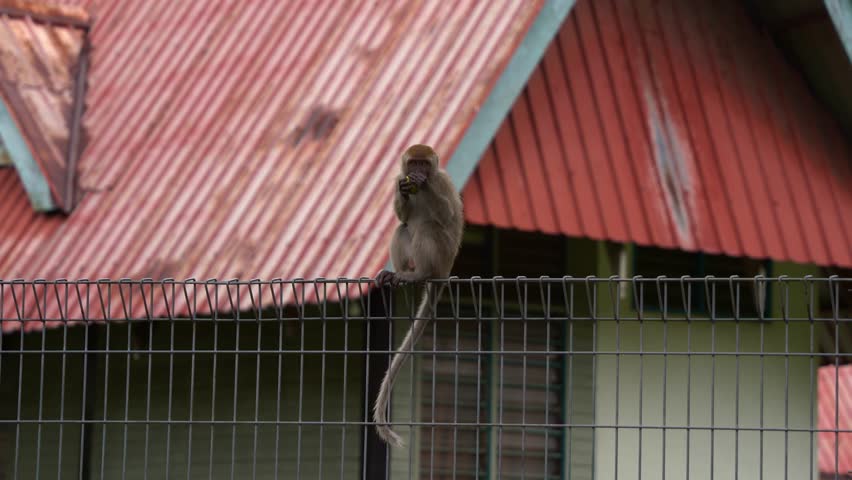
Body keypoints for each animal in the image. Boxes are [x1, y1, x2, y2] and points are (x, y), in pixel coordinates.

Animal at [373, 144, 464, 447]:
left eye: (424, 165)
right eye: (413, 163)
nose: (418, 173)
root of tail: (444, 271)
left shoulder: (442, 181)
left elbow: (447, 214)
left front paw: (426, 187)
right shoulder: (397, 178)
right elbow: (402, 217)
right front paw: (404, 191)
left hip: (441, 255)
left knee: (428, 228)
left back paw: (419, 274)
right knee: (403, 228)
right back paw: (399, 273)